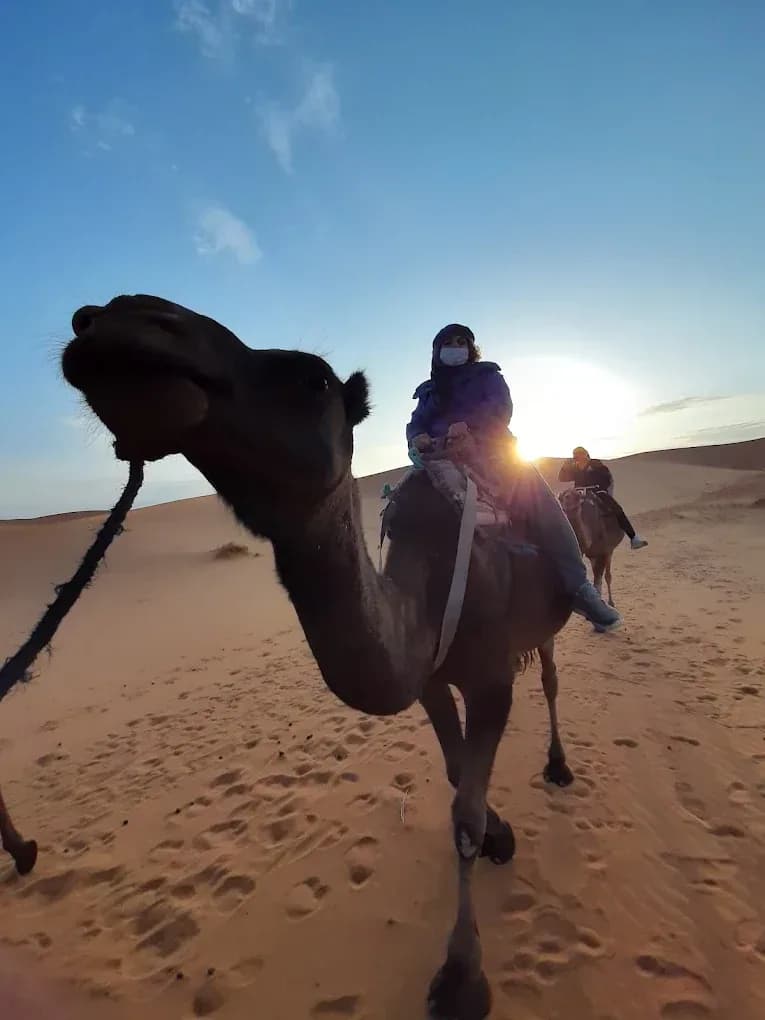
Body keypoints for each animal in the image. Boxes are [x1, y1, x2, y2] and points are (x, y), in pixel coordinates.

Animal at [60, 293, 578, 1020]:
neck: (422, 592)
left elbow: (465, 814)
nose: (116, 315)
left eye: (311, 380)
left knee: (554, 677)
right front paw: (501, 836)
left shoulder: (489, 679)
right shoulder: (428, 679)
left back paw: (559, 766)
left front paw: (462, 980)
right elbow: (455, 778)